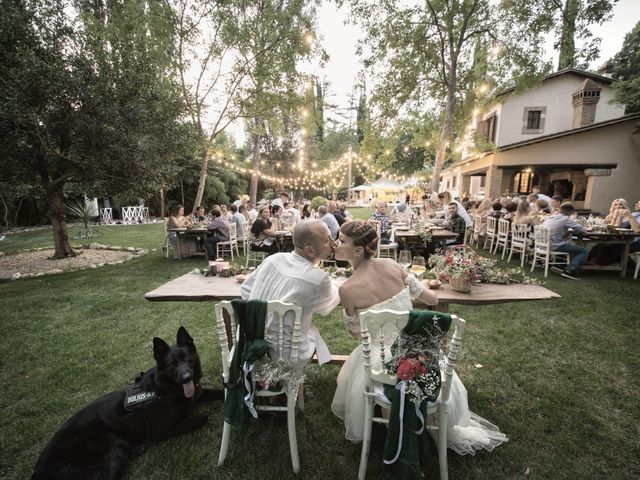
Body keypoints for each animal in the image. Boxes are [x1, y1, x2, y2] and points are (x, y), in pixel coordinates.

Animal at [32, 326, 218, 480]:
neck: (165, 389)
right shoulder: (161, 431)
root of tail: (38, 471)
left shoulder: (198, 393)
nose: (187, 378)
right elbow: (203, 417)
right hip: (115, 449)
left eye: (188, 359)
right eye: (172, 365)